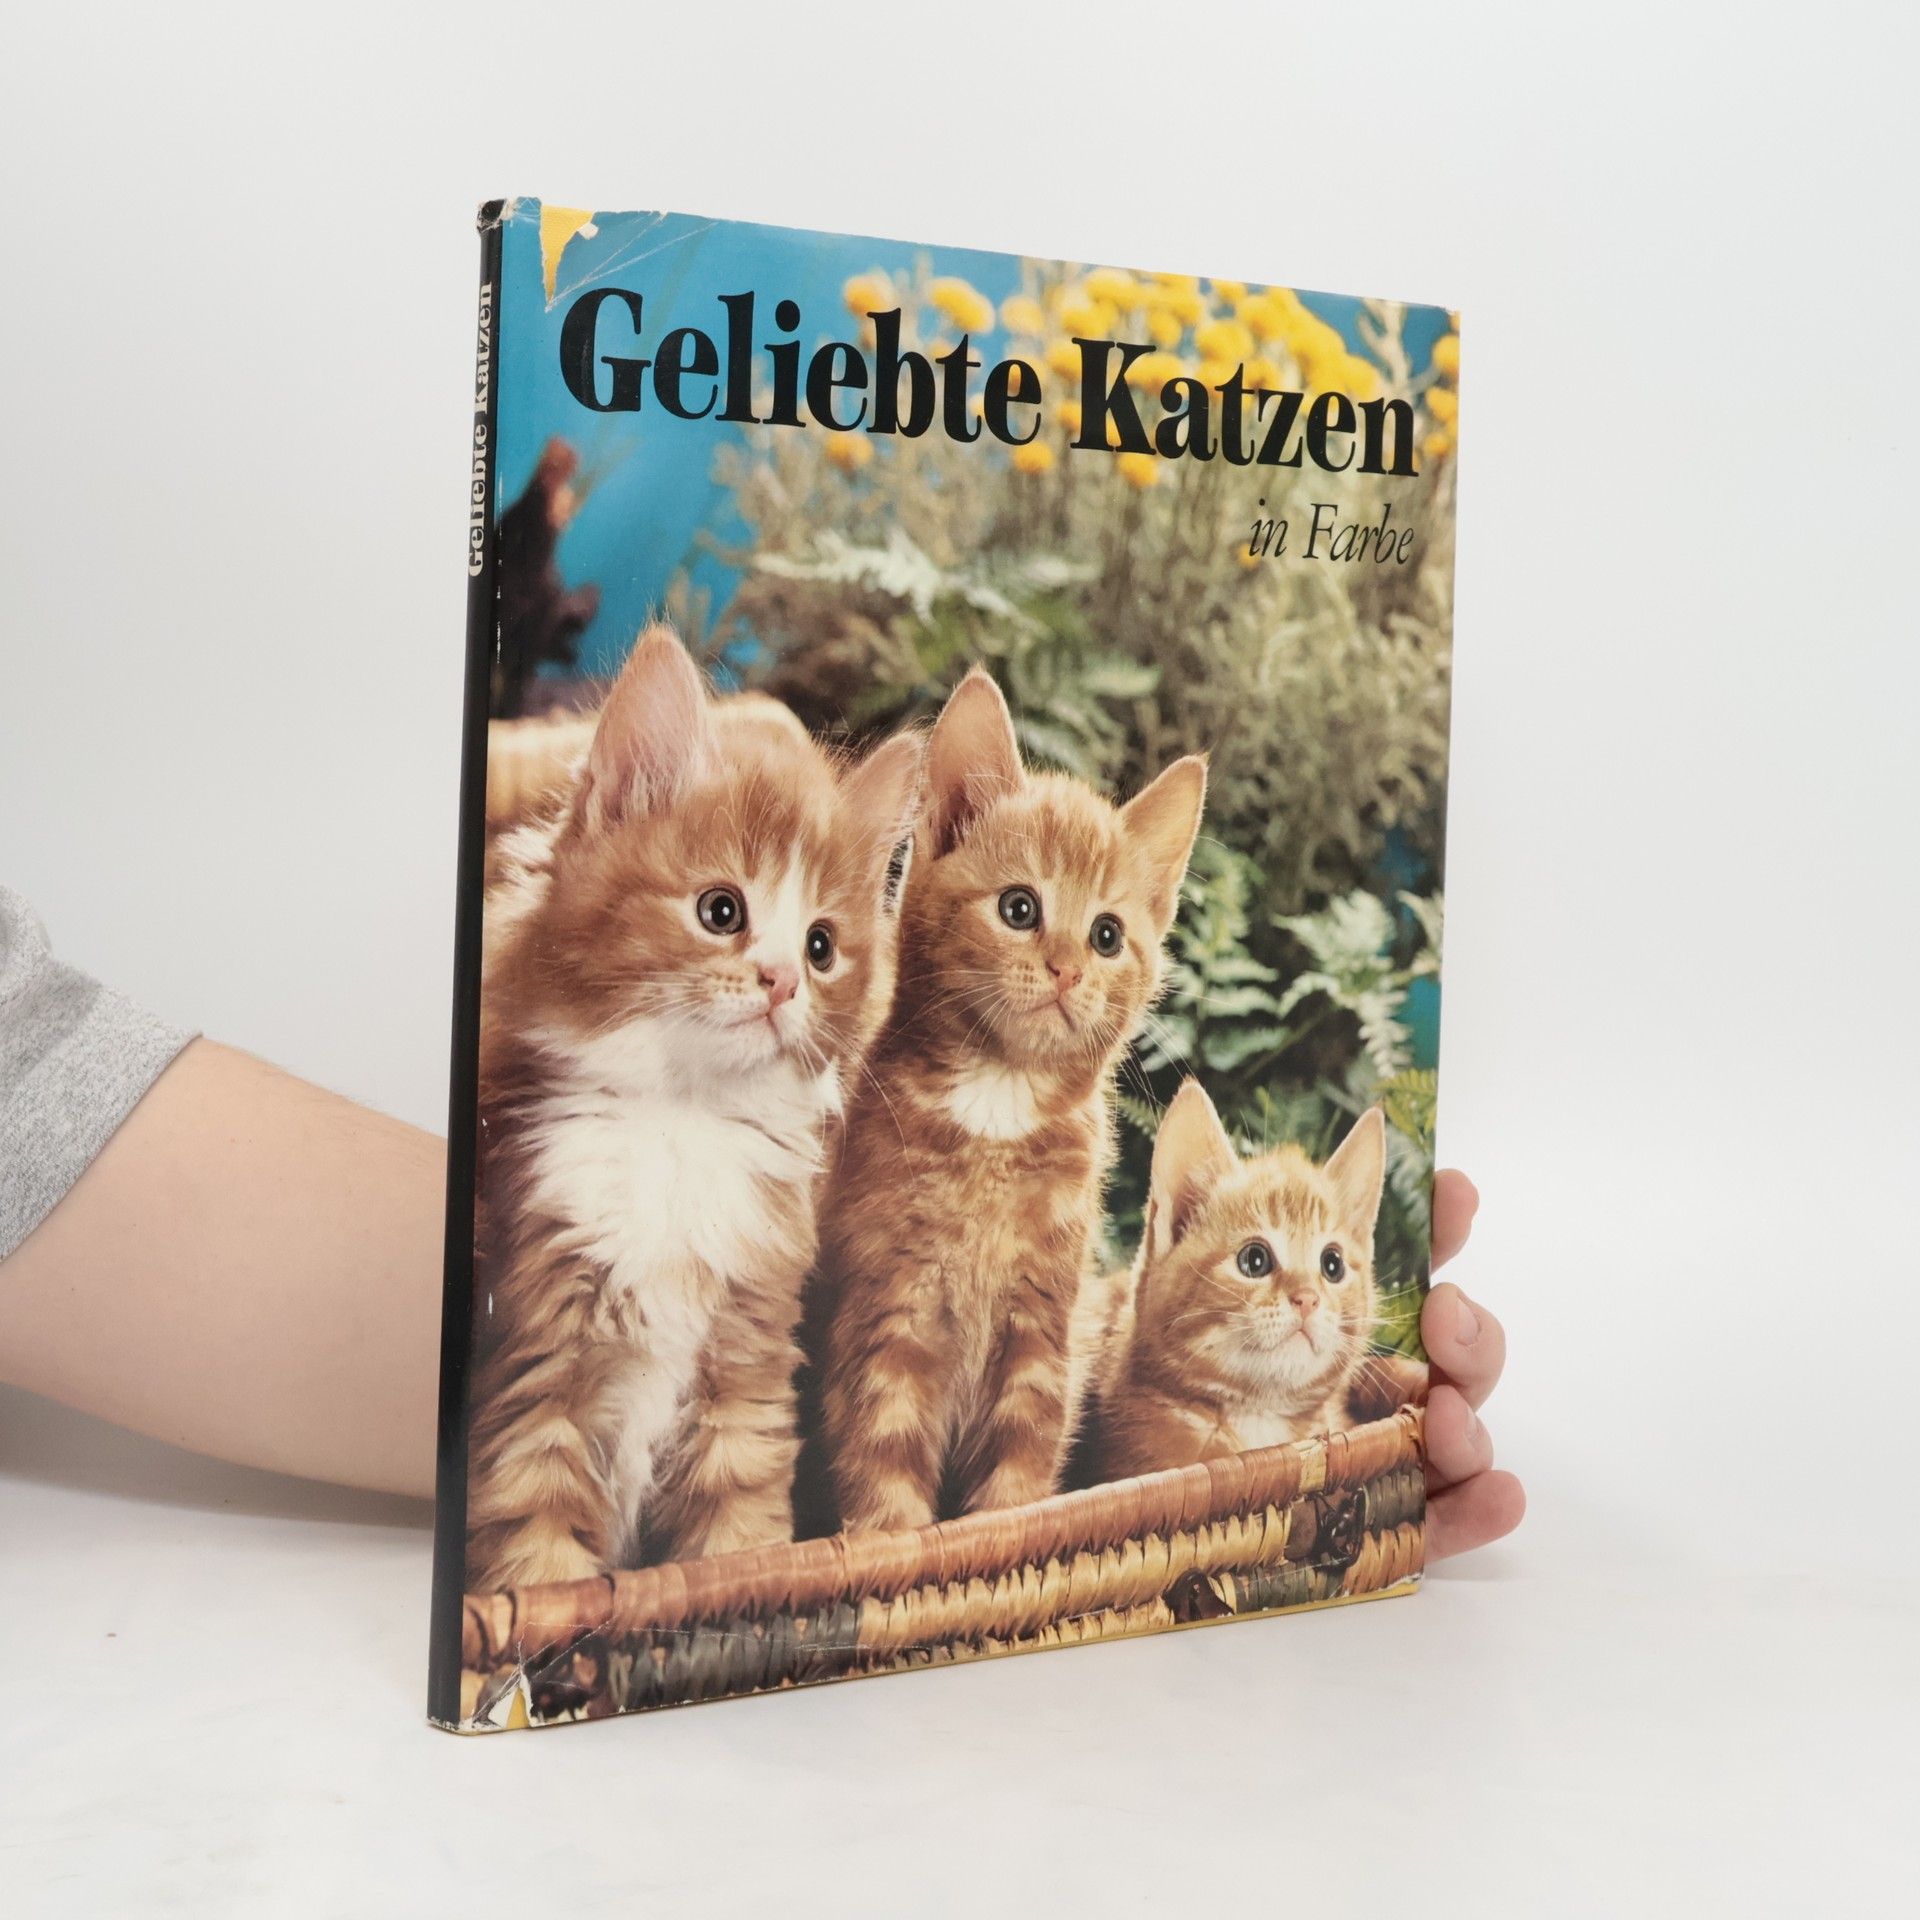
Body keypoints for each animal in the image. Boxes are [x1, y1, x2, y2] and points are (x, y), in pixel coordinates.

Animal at [464, 625, 922, 1591]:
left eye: (822, 946)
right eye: (722, 910)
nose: (782, 980)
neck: (680, 1127)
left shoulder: (743, 1385)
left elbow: (737, 1547)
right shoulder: (532, 1383)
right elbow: (539, 1567)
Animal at [813, 667, 1206, 1531]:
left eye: (1106, 935)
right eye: (1019, 908)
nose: (1066, 968)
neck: (999, 1101)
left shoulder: (1042, 1324)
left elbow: (1024, 1459)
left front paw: (1017, 1525)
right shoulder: (888, 1310)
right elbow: (882, 1455)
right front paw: (897, 1538)